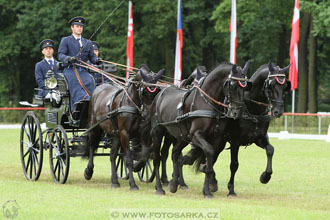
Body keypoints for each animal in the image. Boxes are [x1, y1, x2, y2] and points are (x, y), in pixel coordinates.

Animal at [148, 62, 249, 198]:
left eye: (245, 86)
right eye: (232, 85)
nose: (236, 112)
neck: (208, 103)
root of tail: (160, 93)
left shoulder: (216, 138)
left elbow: (210, 159)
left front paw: (207, 189)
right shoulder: (196, 135)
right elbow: (209, 152)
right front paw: (207, 189)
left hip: (181, 136)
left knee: (175, 153)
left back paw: (174, 184)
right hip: (157, 133)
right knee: (157, 159)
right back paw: (159, 187)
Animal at [184, 61, 290, 196]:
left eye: (285, 86)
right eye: (271, 85)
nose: (278, 111)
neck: (252, 109)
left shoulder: (259, 138)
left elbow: (270, 150)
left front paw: (265, 176)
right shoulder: (235, 141)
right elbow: (234, 165)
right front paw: (231, 190)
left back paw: (211, 179)